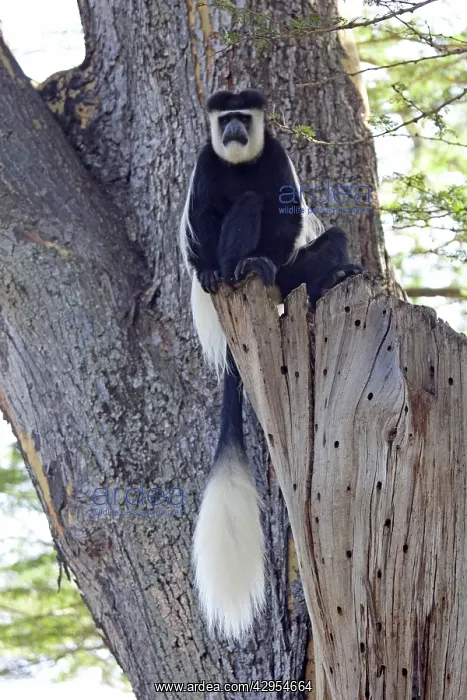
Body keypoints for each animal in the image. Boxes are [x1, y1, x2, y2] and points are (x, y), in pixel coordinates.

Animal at [179, 89, 365, 640]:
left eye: (244, 117)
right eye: (226, 119)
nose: (235, 129)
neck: (240, 161)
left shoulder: (277, 157)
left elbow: (285, 214)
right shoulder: (206, 163)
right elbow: (205, 220)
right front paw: (218, 264)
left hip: (292, 276)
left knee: (325, 243)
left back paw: (321, 276)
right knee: (241, 208)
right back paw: (235, 268)